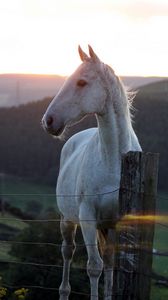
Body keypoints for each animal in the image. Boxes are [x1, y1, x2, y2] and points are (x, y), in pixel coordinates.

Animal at [41, 45, 140, 300]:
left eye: (82, 82)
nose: (48, 121)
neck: (114, 160)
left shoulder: (117, 221)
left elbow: (111, 265)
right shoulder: (87, 216)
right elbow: (94, 267)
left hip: (105, 227)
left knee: (108, 259)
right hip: (68, 221)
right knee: (68, 252)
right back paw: (64, 291)